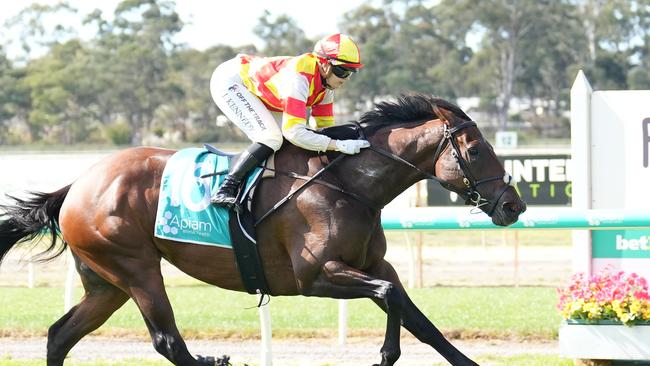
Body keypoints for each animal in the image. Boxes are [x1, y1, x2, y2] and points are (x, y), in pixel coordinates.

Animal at [0, 93, 524, 364]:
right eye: (476, 150)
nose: (513, 204)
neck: (346, 183)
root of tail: (77, 184)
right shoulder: (315, 276)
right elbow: (390, 297)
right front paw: (385, 353)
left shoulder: (374, 264)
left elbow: (419, 319)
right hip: (136, 267)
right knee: (166, 339)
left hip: (106, 282)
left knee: (60, 335)